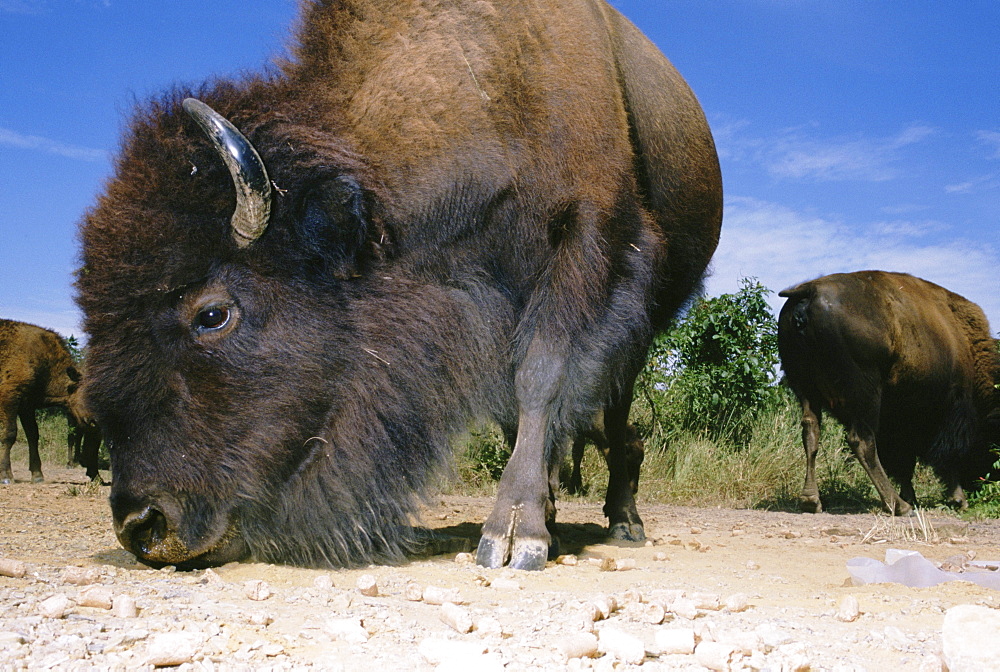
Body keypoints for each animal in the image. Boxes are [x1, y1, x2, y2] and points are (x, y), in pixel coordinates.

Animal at [1, 318, 99, 484]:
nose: (96, 420)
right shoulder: (9, 398)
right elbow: (9, 433)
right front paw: (6, 476)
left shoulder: (27, 405)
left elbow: (33, 435)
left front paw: (37, 475)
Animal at [76, 0, 720, 572]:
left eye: (212, 314)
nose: (141, 524)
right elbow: (517, 407)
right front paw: (539, 519)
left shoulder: (590, 238)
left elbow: (541, 377)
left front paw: (514, 536)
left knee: (618, 412)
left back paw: (625, 521)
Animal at [780, 272, 1000, 516]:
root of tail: (809, 291)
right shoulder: (952, 410)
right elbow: (948, 455)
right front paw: (957, 499)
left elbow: (905, 463)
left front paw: (913, 496)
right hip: (865, 396)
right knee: (862, 441)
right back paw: (898, 505)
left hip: (806, 389)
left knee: (811, 431)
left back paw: (811, 501)